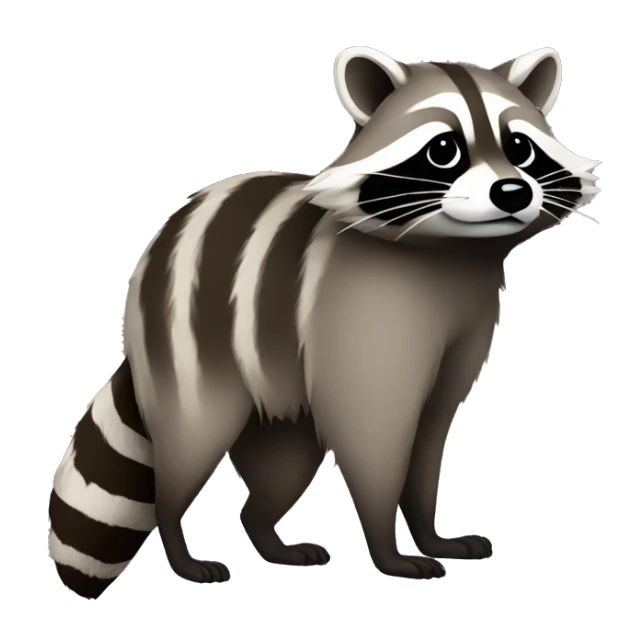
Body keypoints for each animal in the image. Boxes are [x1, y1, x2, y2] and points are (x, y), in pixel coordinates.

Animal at [49, 46, 600, 598]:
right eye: (444, 150)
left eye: (520, 148)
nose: (512, 191)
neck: (454, 254)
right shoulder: (363, 315)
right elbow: (374, 438)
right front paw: (387, 549)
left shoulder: (466, 324)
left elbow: (432, 434)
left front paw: (429, 531)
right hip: (193, 352)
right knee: (189, 445)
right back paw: (179, 546)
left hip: (280, 400)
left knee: (280, 472)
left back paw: (268, 537)